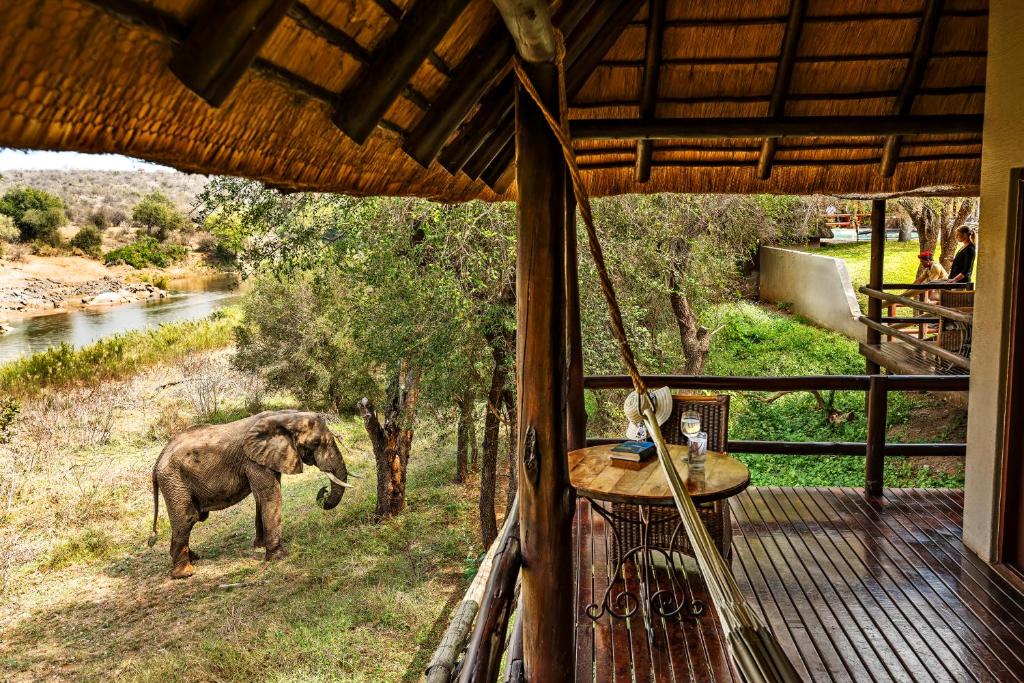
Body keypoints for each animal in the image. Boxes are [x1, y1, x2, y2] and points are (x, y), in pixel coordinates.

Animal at [146, 409, 350, 581]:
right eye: (316, 443)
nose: (324, 491)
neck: (284, 416)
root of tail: (157, 463)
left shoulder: (266, 458)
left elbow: (262, 497)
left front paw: (259, 546)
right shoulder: (253, 460)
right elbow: (270, 494)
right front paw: (279, 556)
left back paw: (194, 558)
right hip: (174, 481)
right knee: (187, 519)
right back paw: (185, 573)